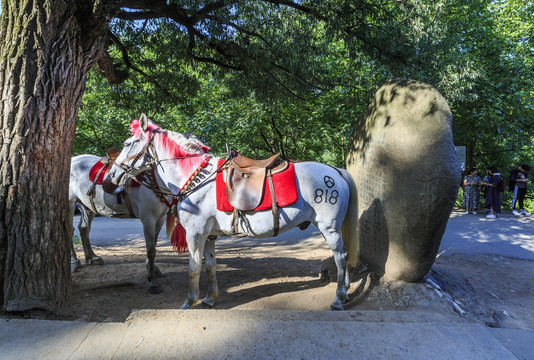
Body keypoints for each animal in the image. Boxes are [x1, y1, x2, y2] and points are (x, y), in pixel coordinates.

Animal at [69, 154, 170, 292]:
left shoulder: (160, 218)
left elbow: (153, 245)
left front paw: (153, 269)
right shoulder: (148, 219)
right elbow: (151, 249)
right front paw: (152, 281)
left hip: (87, 206)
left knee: (84, 228)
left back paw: (93, 257)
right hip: (70, 203)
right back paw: (74, 261)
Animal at [109, 114, 360, 310]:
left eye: (129, 143)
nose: (112, 175)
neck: (197, 178)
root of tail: (335, 171)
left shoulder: (195, 234)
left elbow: (193, 267)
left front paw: (190, 300)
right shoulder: (209, 235)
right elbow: (210, 266)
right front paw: (210, 298)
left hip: (329, 228)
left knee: (340, 256)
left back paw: (339, 298)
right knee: (345, 254)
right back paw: (346, 291)